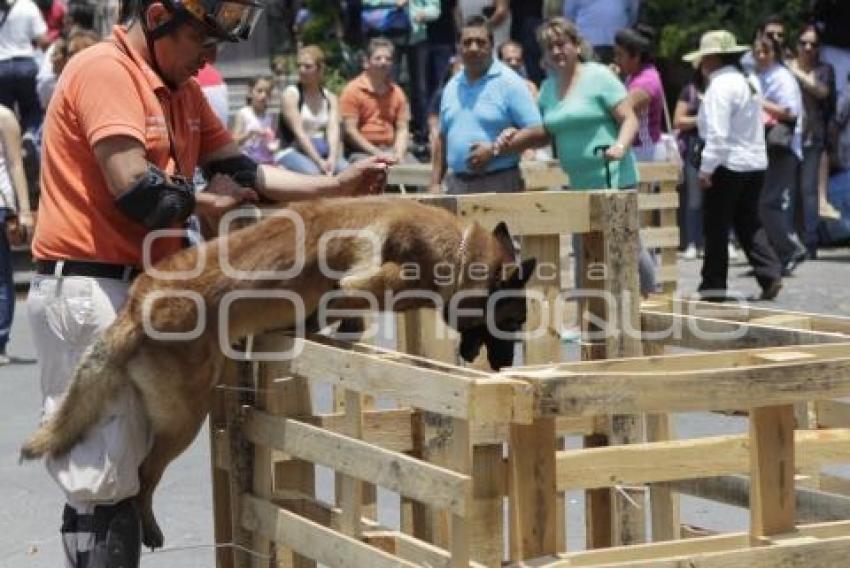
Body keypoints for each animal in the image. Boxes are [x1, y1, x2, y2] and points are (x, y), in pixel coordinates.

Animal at [19, 196, 532, 552]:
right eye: (511, 320)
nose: (506, 365)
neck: (447, 251)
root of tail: (136, 309)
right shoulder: (367, 267)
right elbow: (378, 280)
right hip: (185, 419)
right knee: (144, 475)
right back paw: (148, 526)